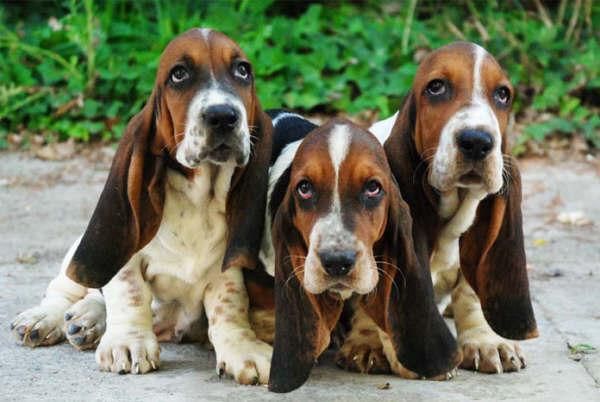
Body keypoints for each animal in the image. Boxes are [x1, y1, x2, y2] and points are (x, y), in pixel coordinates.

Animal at [10, 28, 274, 384]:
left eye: (243, 71)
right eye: (179, 74)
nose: (223, 116)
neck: (199, 197)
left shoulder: (227, 268)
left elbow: (229, 307)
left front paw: (242, 348)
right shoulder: (127, 255)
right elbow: (130, 292)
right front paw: (128, 343)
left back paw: (87, 321)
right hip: (80, 248)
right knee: (66, 288)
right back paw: (45, 318)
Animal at [342, 40, 540, 374]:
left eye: (503, 94)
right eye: (436, 87)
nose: (477, 141)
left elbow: (470, 292)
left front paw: (486, 341)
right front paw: (366, 343)